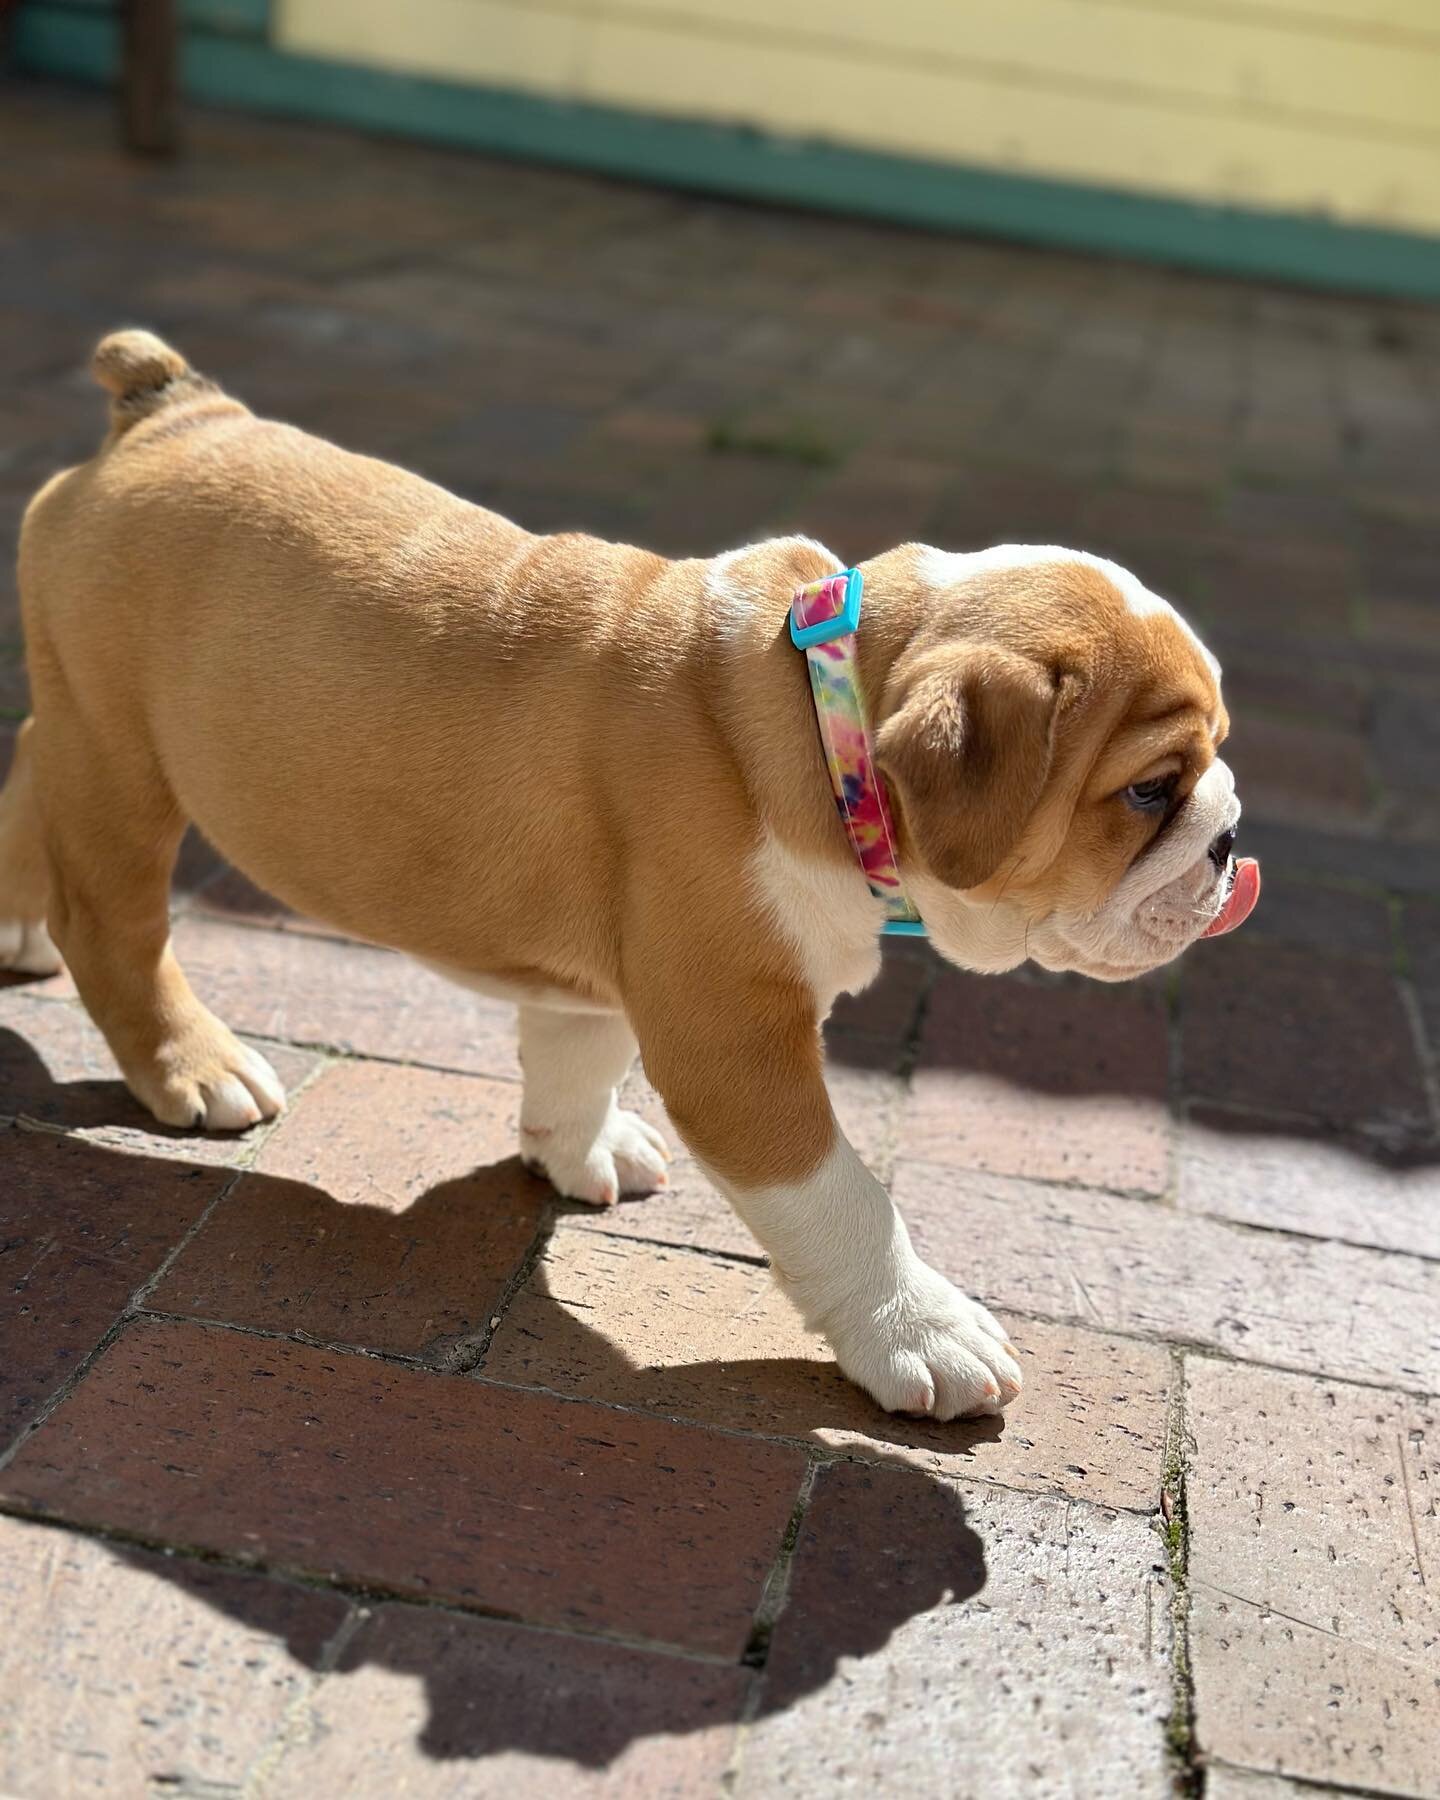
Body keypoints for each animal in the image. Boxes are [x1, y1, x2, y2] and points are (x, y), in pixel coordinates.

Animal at [0, 334, 1252, 1418]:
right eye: (1152, 790)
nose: (1230, 840)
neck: (815, 711)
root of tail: (171, 410)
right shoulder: (734, 1042)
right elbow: (841, 1196)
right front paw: (921, 1332)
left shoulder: (613, 972)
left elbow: (578, 1053)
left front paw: (578, 1146)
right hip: (122, 758)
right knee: (113, 923)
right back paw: (193, 1063)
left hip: (77, 726)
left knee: (21, 781)